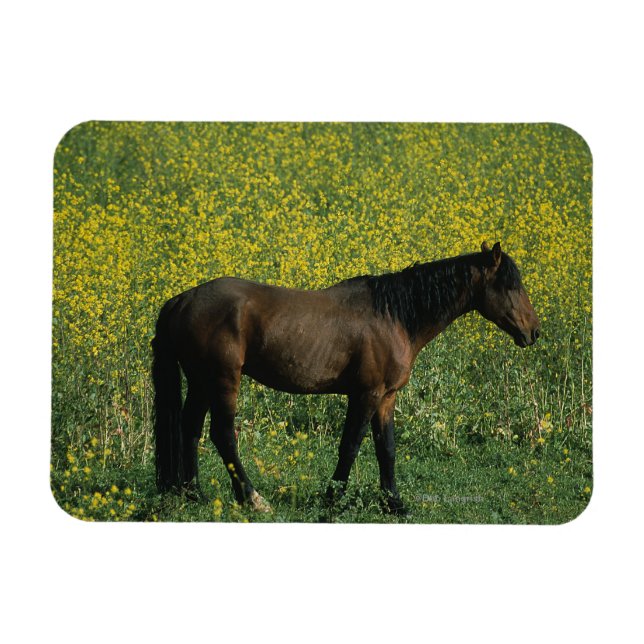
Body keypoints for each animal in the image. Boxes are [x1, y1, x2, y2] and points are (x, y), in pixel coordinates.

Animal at [152, 241, 540, 514]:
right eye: (511, 285)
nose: (533, 332)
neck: (394, 316)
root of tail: (182, 300)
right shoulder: (366, 394)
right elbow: (351, 446)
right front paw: (332, 498)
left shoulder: (386, 397)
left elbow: (387, 449)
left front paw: (394, 503)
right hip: (222, 380)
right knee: (222, 436)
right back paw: (253, 499)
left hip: (201, 382)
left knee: (190, 428)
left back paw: (194, 493)